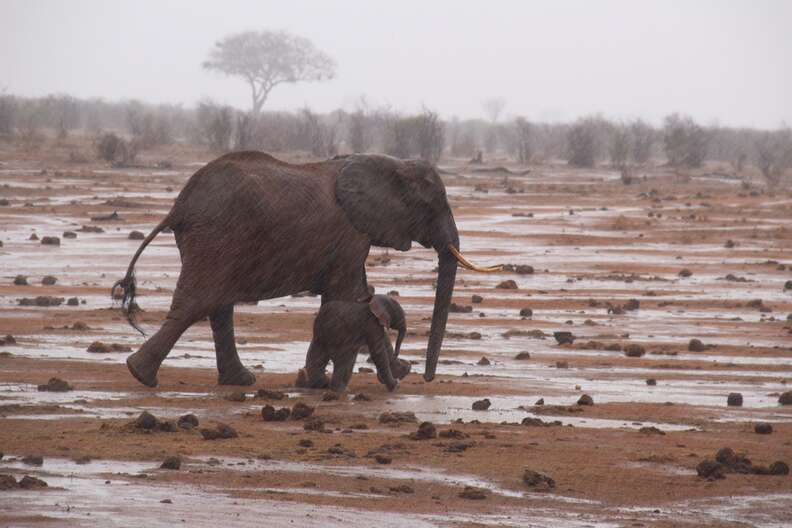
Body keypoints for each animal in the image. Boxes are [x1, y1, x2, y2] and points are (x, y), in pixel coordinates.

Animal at [113, 153, 496, 388]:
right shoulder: (351, 233)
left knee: (219, 306)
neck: (388, 164)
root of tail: (179, 205)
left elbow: (358, 297)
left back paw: (240, 380)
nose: (428, 378)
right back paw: (140, 375)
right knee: (199, 302)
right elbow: (352, 297)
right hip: (217, 234)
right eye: (434, 206)